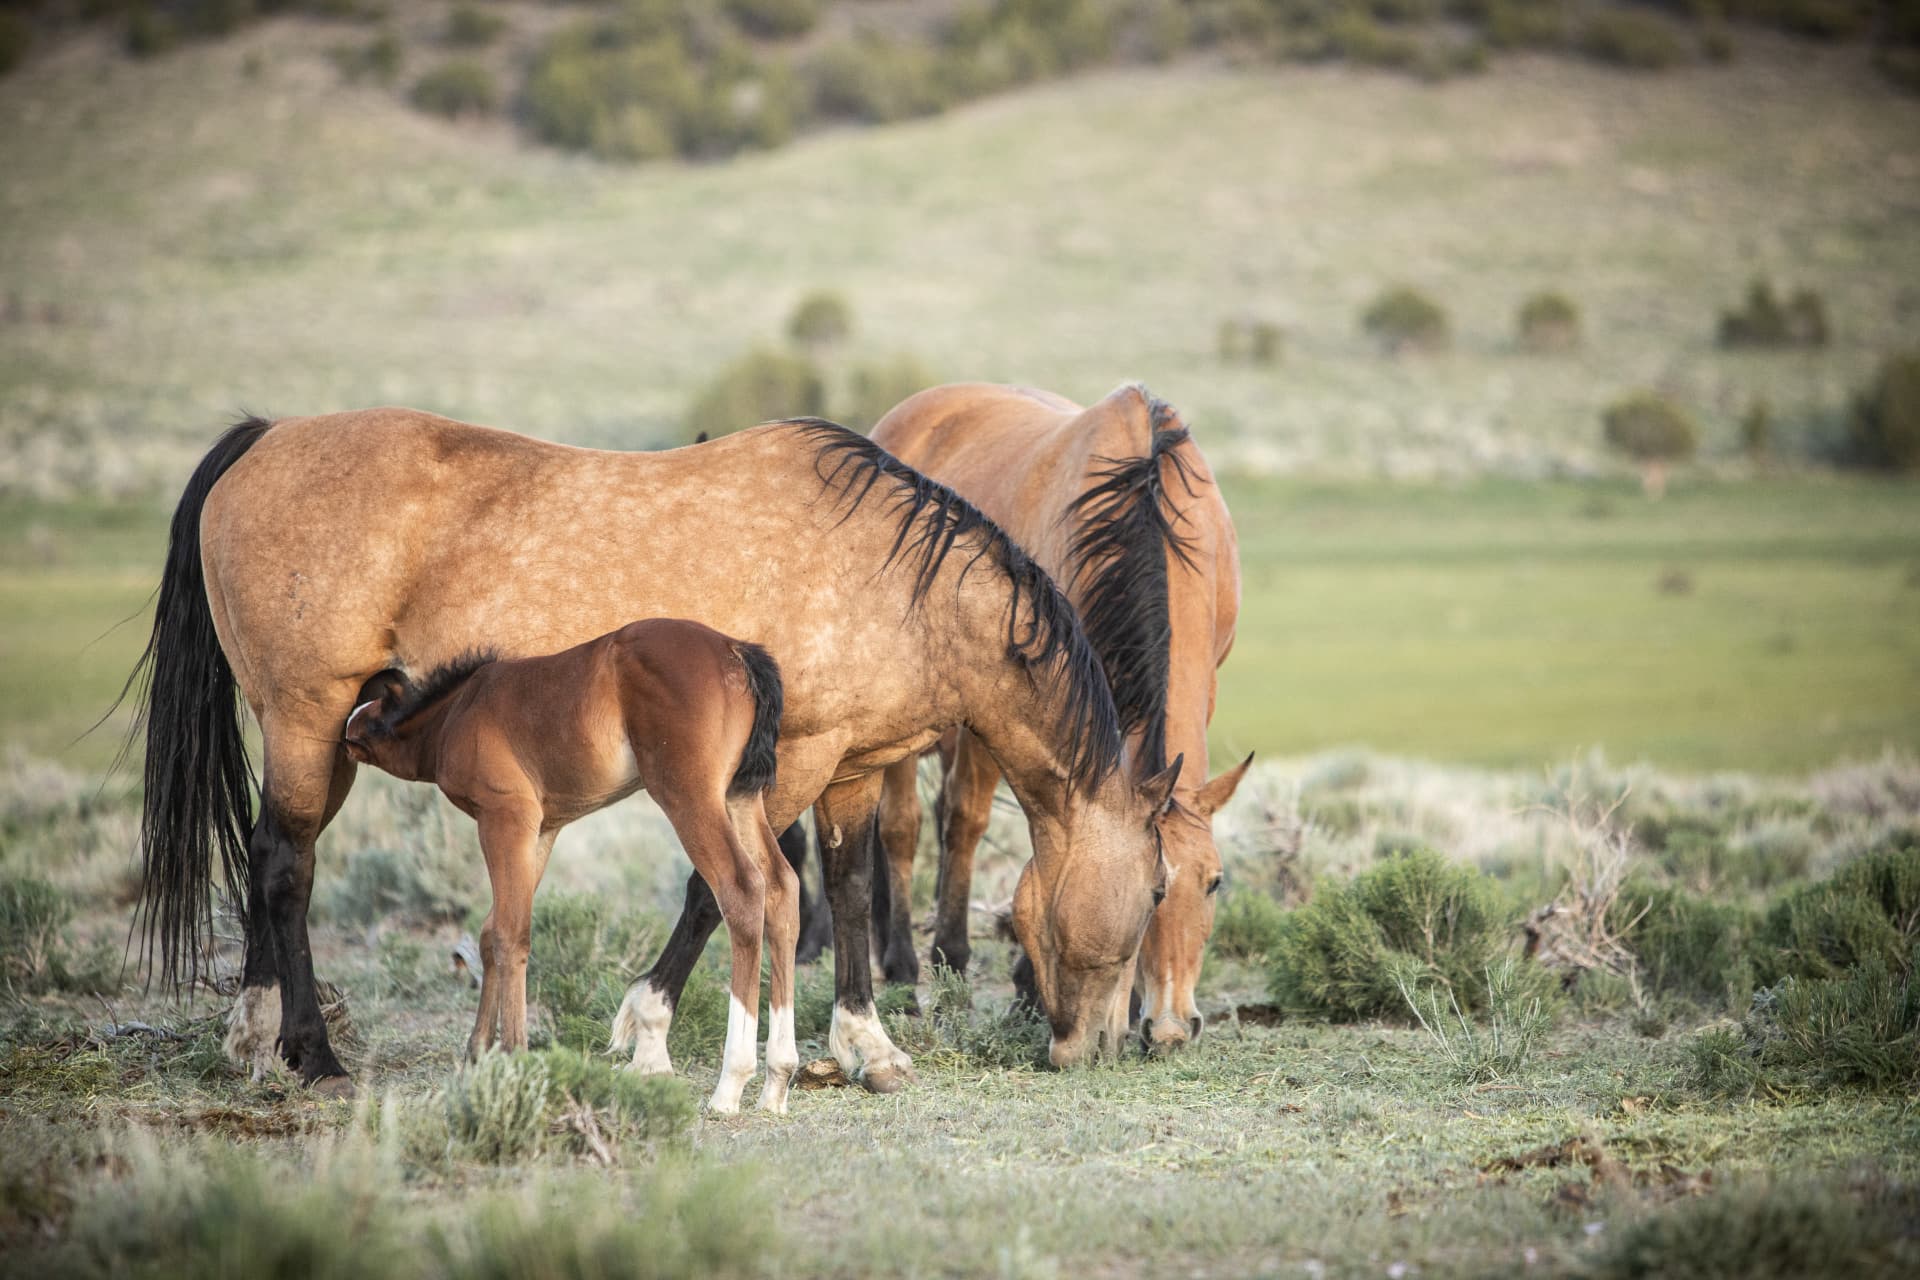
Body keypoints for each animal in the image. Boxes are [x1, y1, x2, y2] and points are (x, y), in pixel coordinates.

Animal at [340, 619, 799, 1114]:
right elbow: (490, 931)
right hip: (740, 797)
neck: (457, 711)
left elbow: (510, 935)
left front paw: (514, 1055)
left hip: (687, 795)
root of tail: (736, 650)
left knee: (741, 889)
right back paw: (776, 1080)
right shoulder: (542, 830)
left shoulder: (505, 817)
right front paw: (477, 1052)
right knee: (781, 887)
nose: (340, 745)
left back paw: (730, 1085)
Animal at [867, 383, 1247, 1053]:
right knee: (910, 824)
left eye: (1215, 882)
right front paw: (1020, 986)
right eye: (1155, 893)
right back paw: (913, 964)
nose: (1171, 1028)